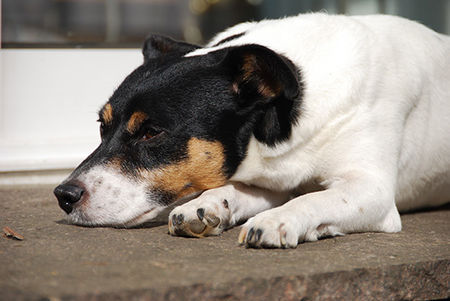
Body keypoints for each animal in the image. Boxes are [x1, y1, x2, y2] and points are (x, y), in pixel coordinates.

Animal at [53, 13, 450, 248]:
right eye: (102, 127)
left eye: (151, 132)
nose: (63, 195)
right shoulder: (274, 179)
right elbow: (240, 189)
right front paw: (208, 205)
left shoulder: (372, 189)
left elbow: (317, 198)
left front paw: (277, 219)